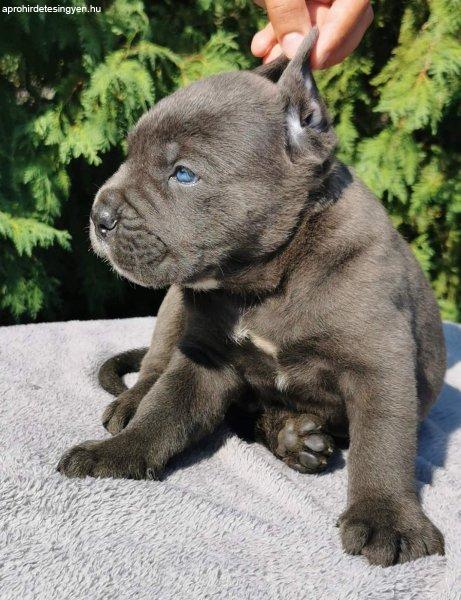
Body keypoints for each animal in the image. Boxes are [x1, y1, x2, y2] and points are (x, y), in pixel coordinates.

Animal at [55, 31, 444, 568]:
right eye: (128, 155)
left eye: (183, 174)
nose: (99, 216)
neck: (269, 280)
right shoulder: (203, 357)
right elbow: (165, 410)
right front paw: (116, 455)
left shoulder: (379, 364)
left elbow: (382, 443)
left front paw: (388, 518)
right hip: (173, 306)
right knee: (154, 368)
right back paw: (141, 404)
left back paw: (294, 436)